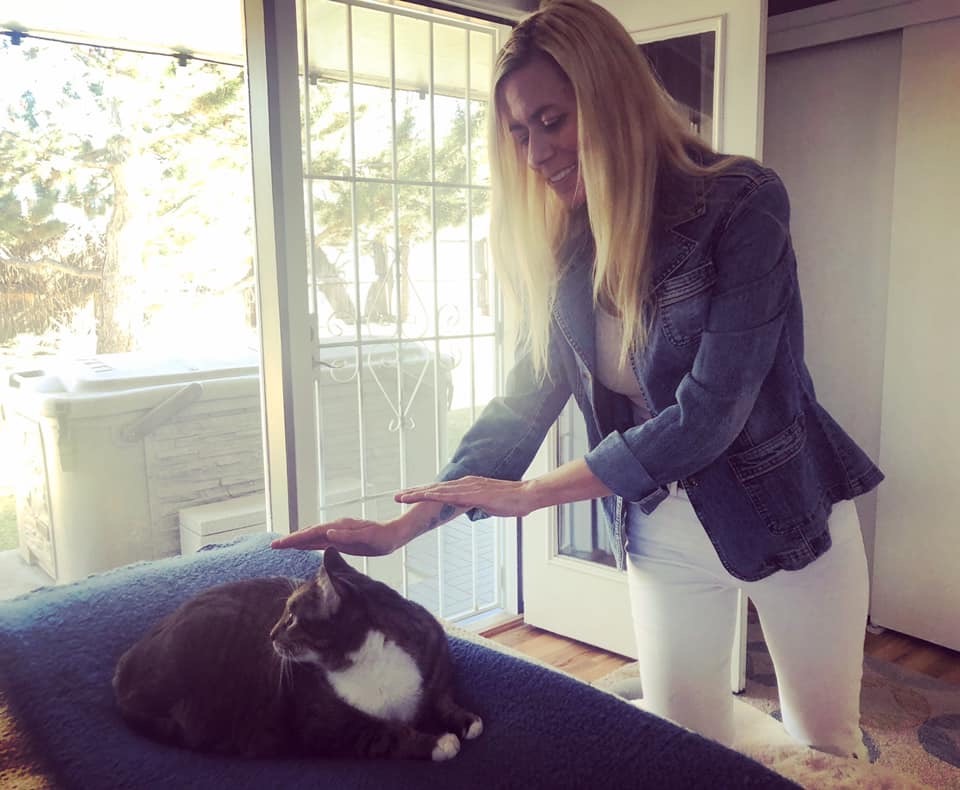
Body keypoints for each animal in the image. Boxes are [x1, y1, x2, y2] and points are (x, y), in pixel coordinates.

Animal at [113, 552, 484, 760]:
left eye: (291, 617)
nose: (270, 634)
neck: (376, 661)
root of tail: (121, 671)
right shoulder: (330, 727)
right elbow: (388, 736)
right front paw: (440, 743)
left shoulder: (434, 663)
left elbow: (442, 699)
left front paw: (468, 721)